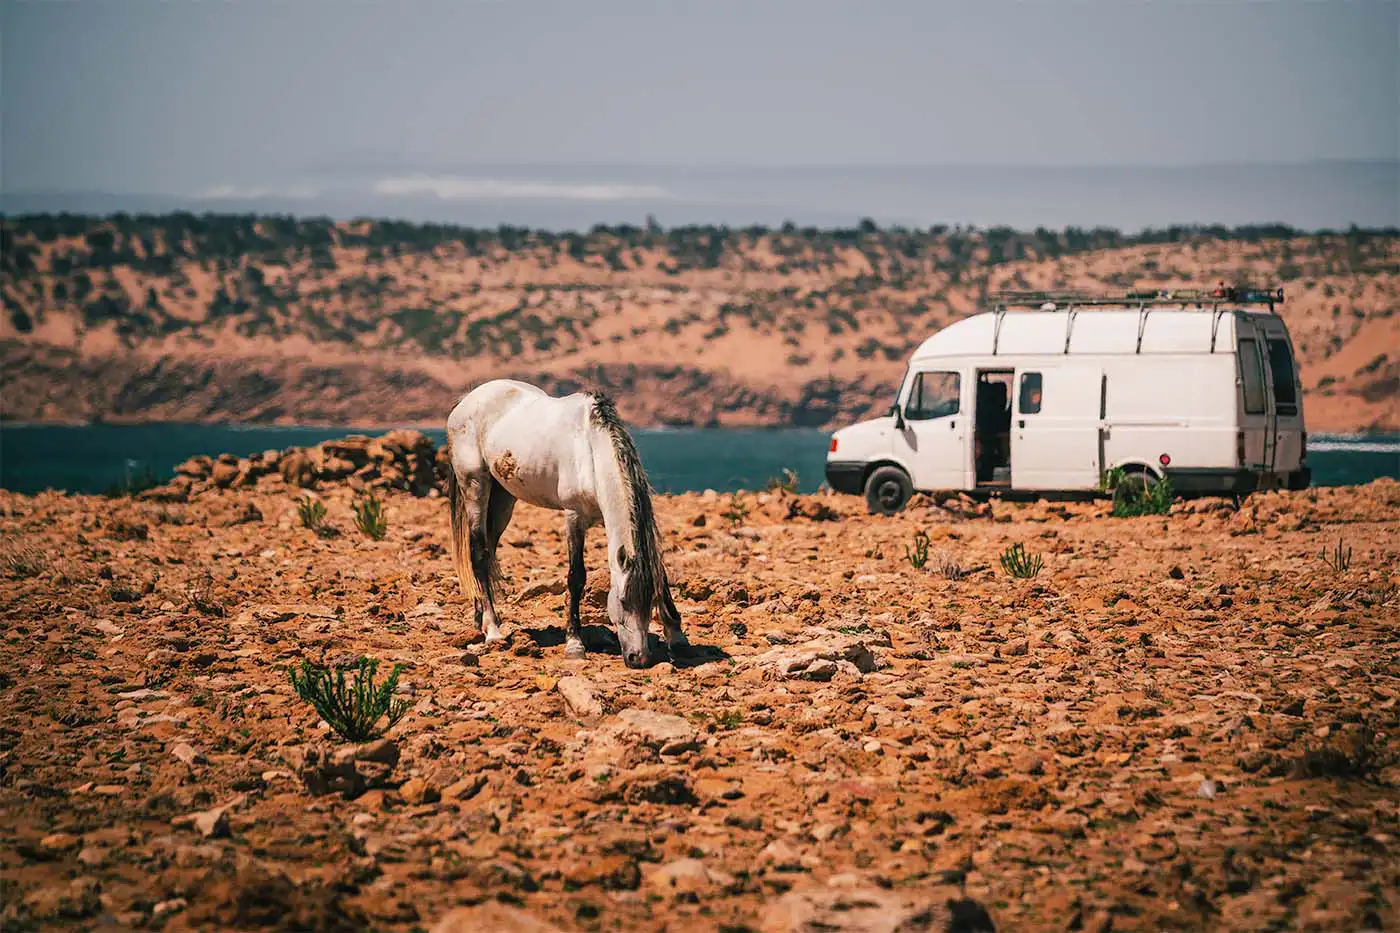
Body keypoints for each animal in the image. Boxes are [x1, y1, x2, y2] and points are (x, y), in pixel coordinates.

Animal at [444, 379, 688, 668]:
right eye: (623, 601)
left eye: (650, 602)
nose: (638, 659)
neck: (590, 449)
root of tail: (467, 399)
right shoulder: (573, 517)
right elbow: (576, 577)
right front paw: (574, 644)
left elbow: (660, 572)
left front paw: (677, 637)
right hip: (475, 486)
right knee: (479, 554)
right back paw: (492, 630)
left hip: (504, 497)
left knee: (489, 550)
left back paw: (479, 618)